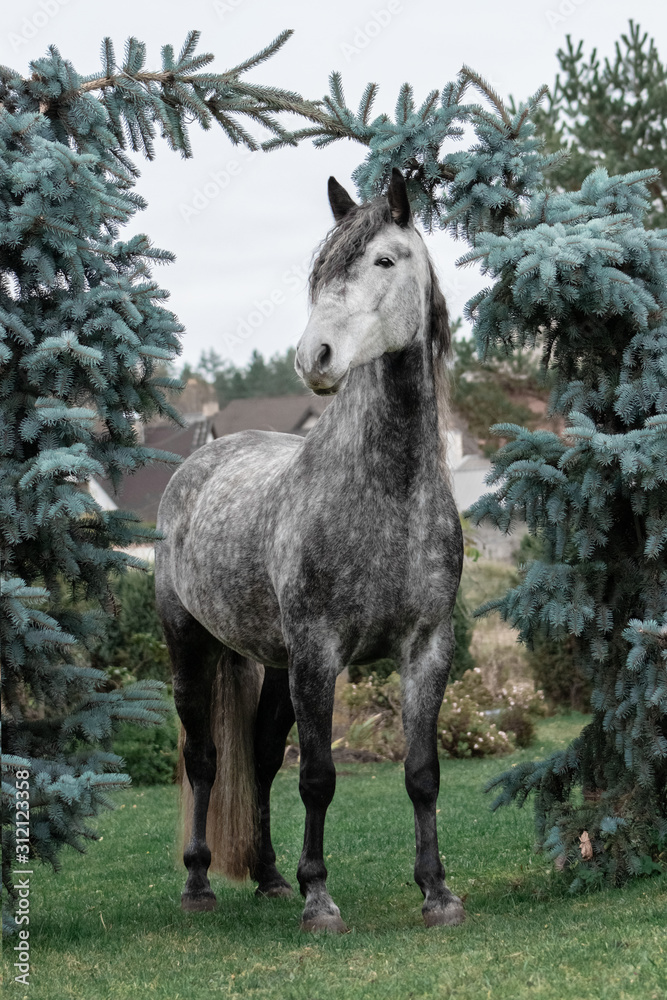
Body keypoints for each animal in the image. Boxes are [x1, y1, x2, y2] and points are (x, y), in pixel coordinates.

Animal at [154, 169, 465, 932]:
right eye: (319, 271)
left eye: (384, 260)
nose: (313, 359)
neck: (388, 492)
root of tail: (201, 458)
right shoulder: (320, 653)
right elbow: (319, 777)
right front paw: (320, 898)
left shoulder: (427, 648)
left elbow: (421, 774)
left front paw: (437, 893)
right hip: (190, 646)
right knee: (205, 759)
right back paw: (199, 883)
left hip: (272, 662)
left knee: (261, 758)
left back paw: (268, 877)